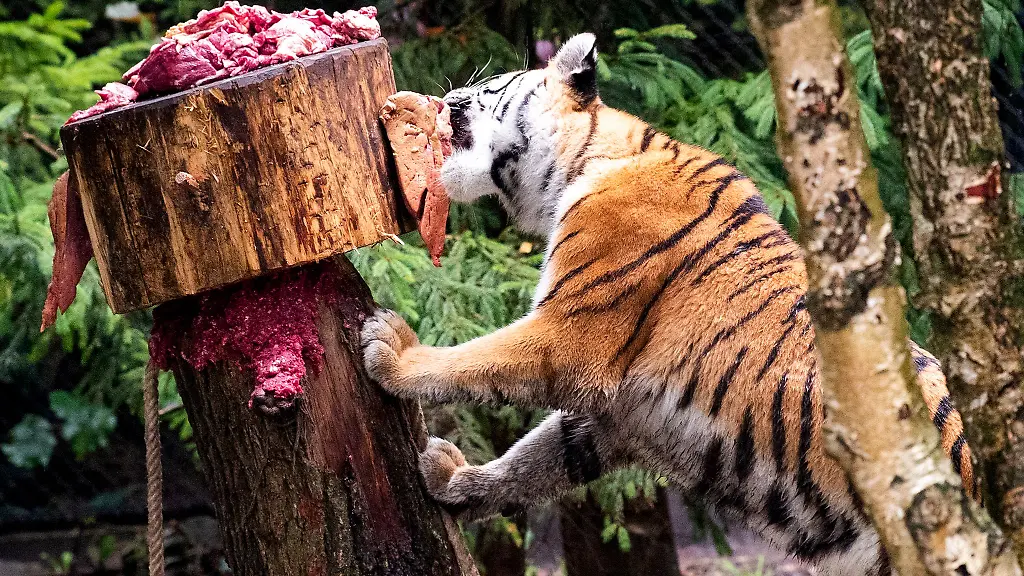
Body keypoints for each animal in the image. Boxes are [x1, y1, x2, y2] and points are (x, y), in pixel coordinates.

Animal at [360, 33, 976, 576]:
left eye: (491, 87)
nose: (443, 100)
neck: (585, 163)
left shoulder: (570, 336)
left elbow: (472, 361)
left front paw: (392, 351)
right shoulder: (620, 417)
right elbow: (535, 459)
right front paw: (456, 483)